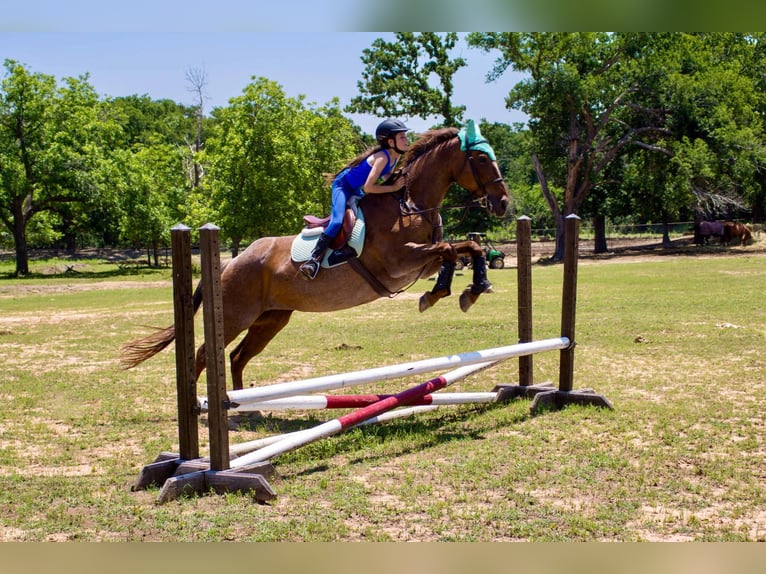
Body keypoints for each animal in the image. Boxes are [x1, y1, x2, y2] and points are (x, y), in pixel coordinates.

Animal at [120, 121, 510, 392]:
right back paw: (205, 407)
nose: (503, 203)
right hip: (233, 315)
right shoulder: (399, 263)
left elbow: (464, 249)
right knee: (206, 355)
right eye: (480, 158)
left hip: (271, 319)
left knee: (238, 356)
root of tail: (229, 263)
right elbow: (451, 249)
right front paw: (449, 293)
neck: (409, 203)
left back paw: (242, 407)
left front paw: (468, 290)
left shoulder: (420, 263)